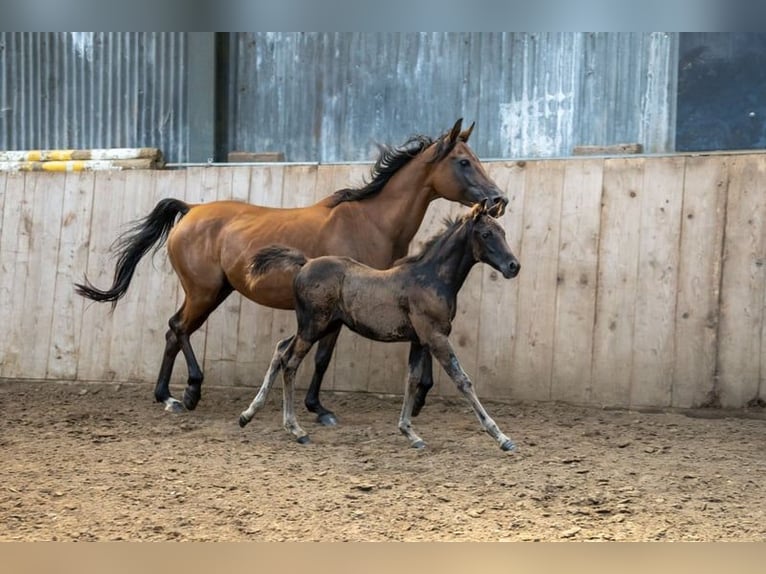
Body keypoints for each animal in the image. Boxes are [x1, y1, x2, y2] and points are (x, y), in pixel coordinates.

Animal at [75, 118, 510, 424]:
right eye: (464, 162)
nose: (498, 199)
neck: (370, 222)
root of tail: (191, 209)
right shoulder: (339, 309)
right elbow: (321, 358)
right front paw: (319, 409)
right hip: (204, 292)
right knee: (178, 327)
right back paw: (187, 393)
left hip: (213, 292)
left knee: (172, 331)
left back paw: (166, 396)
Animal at [238, 202, 520, 454]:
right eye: (486, 234)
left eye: (503, 232)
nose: (513, 266)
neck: (430, 279)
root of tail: (305, 262)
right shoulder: (436, 337)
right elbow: (462, 380)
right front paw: (502, 438)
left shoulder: (419, 340)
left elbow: (412, 380)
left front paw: (410, 433)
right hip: (313, 326)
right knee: (290, 362)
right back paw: (296, 430)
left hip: (320, 325)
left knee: (281, 349)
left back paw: (248, 414)